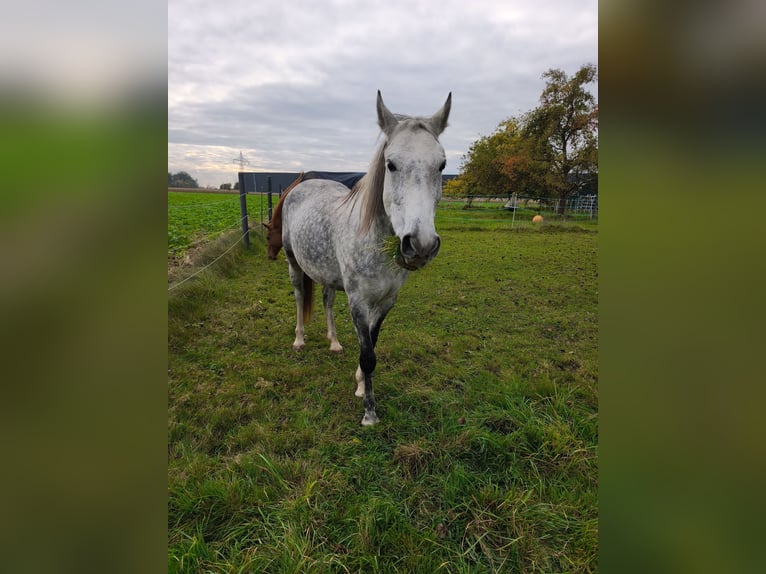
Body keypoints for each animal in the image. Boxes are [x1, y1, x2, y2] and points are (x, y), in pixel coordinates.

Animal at [281, 90, 451, 425]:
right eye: (391, 164)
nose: (421, 245)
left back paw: (334, 343)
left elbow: (372, 344)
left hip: (327, 275)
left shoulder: (386, 301)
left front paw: (361, 384)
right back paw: (299, 339)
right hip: (294, 264)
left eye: (442, 164)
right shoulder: (358, 302)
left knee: (327, 301)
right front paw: (370, 413)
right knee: (298, 296)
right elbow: (368, 354)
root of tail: (303, 183)